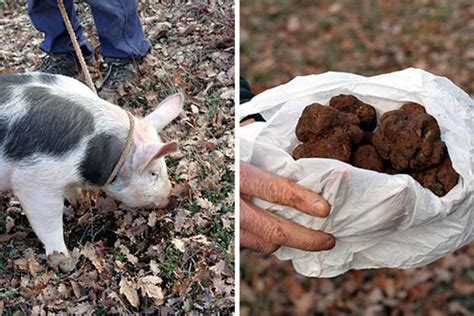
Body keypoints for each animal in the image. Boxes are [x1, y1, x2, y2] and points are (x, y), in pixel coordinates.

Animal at [0, 72, 183, 272]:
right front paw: (66, 262)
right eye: (153, 173)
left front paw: (80, 204)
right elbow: (48, 223)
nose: (169, 197)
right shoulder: (34, 180)